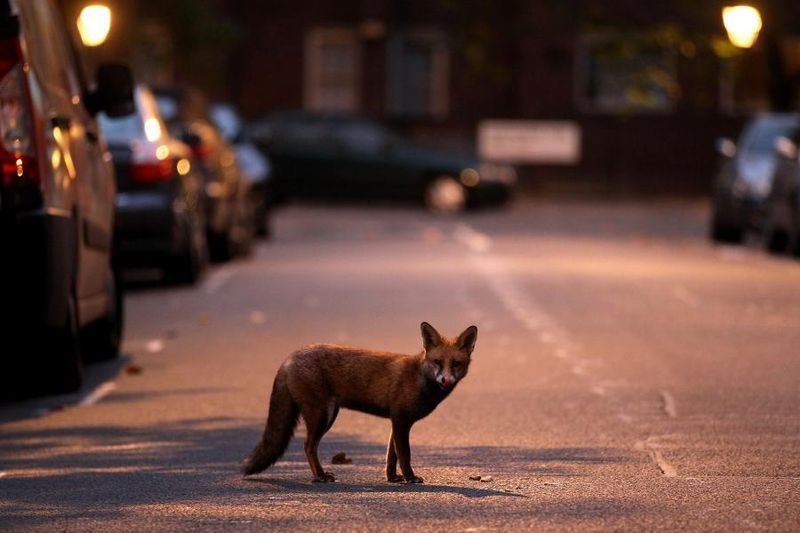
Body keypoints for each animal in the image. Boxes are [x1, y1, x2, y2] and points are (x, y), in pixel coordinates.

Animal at [240, 322, 477, 483]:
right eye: (437, 362)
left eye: (456, 364)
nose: (446, 380)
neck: (419, 378)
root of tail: (290, 357)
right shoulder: (401, 420)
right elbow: (405, 455)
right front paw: (410, 478)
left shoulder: (396, 421)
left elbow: (391, 457)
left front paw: (393, 479)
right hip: (323, 415)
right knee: (308, 445)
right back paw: (320, 476)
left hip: (329, 413)